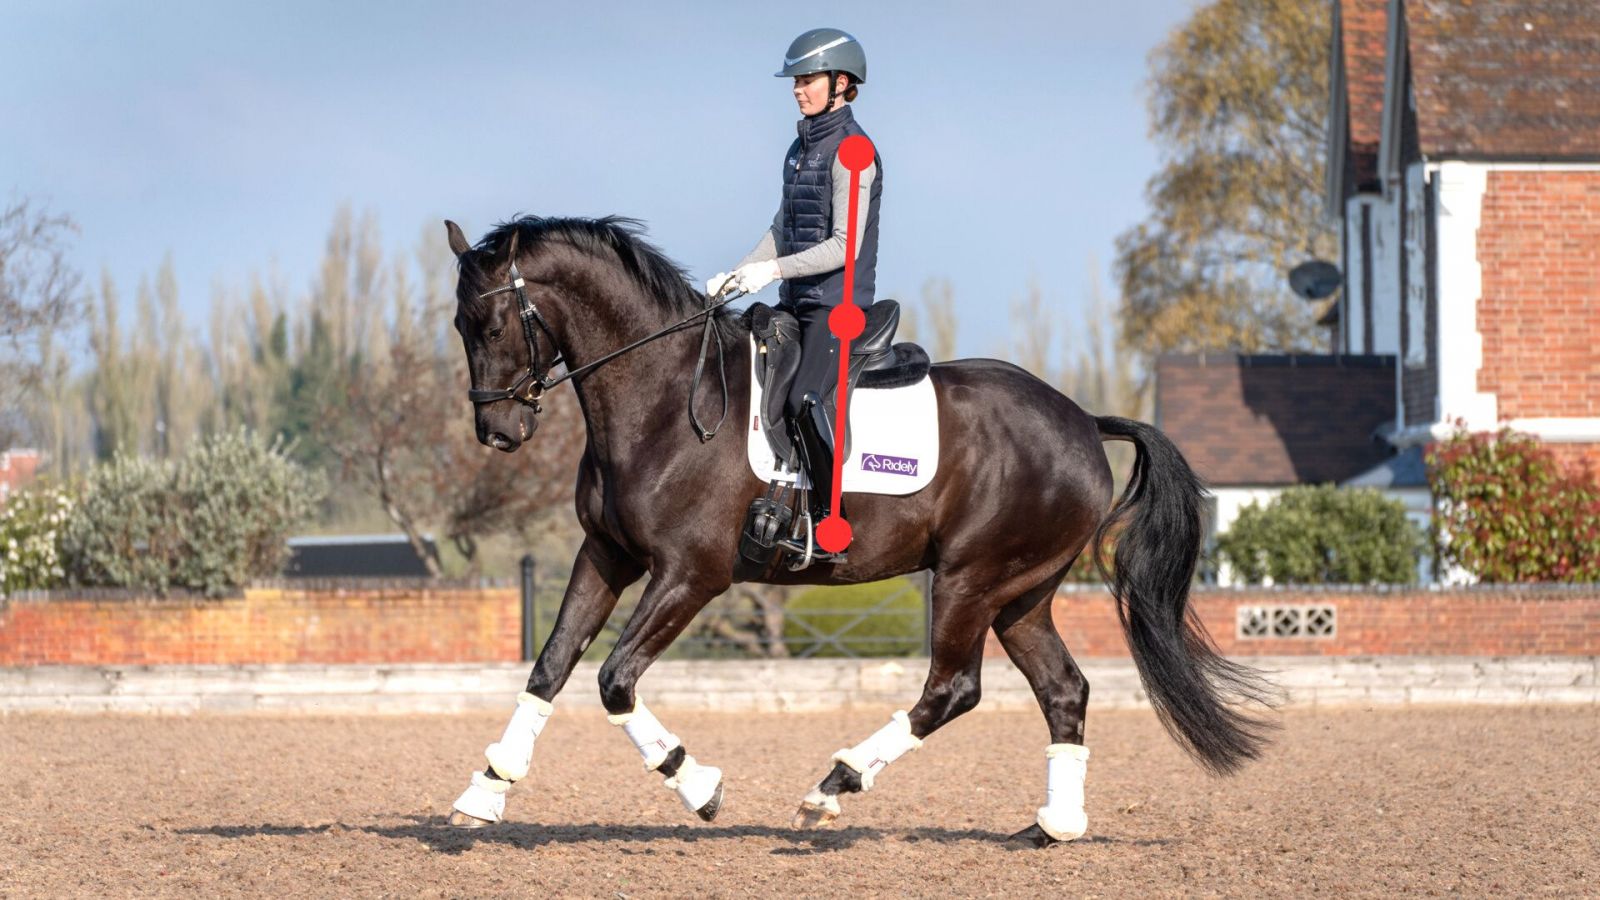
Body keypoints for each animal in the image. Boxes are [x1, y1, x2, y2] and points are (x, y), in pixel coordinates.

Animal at [441, 214, 1272, 845]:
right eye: (459, 324)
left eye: (491, 322)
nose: (497, 431)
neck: (664, 398)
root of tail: (1081, 421)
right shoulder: (607, 554)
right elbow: (550, 667)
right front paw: (485, 792)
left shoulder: (692, 574)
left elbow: (613, 679)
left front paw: (698, 785)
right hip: (1021, 597)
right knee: (1064, 689)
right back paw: (1053, 827)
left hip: (970, 580)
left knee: (953, 688)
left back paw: (832, 787)